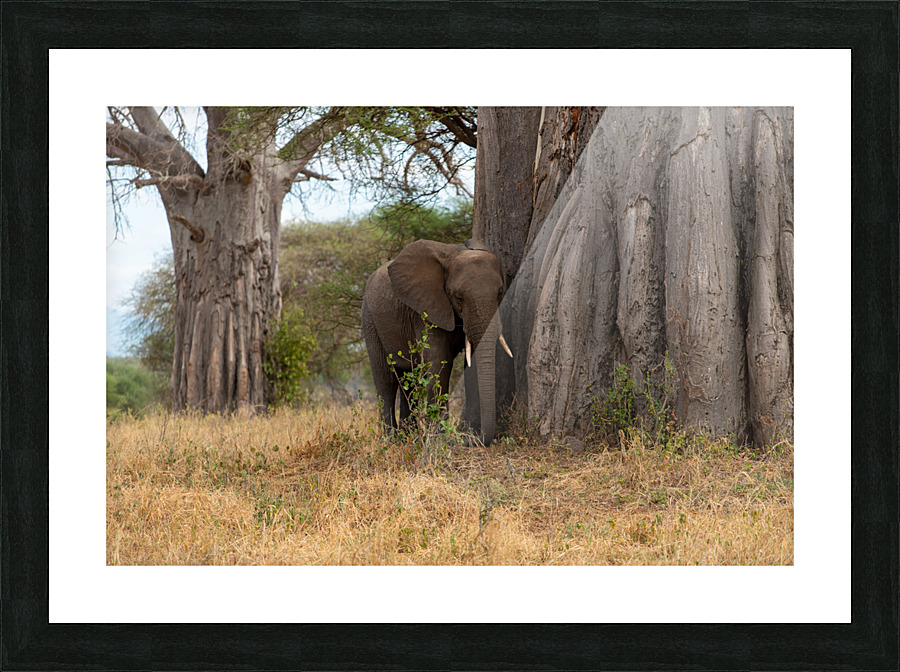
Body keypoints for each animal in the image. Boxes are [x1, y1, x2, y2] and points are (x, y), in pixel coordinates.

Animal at [361, 238, 512, 445]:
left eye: (500, 292)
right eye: (458, 297)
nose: (473, 439)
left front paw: (466, 433)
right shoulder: (424, 311)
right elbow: (438, 363)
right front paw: (440, 439)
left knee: (409, 380)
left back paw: (409, 437)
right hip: (370, 320)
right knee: (385, 380)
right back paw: (390, 440)